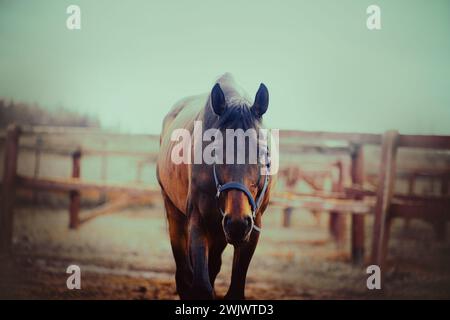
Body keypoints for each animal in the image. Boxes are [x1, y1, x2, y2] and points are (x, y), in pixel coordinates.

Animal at [156, 74, 276, 298]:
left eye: (263, 151)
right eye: (214, 151)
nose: (238, 223)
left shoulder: (253, 226)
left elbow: (234, 289)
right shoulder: (198, 220)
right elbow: (201, 286)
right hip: (175, 214)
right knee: (183, 274)